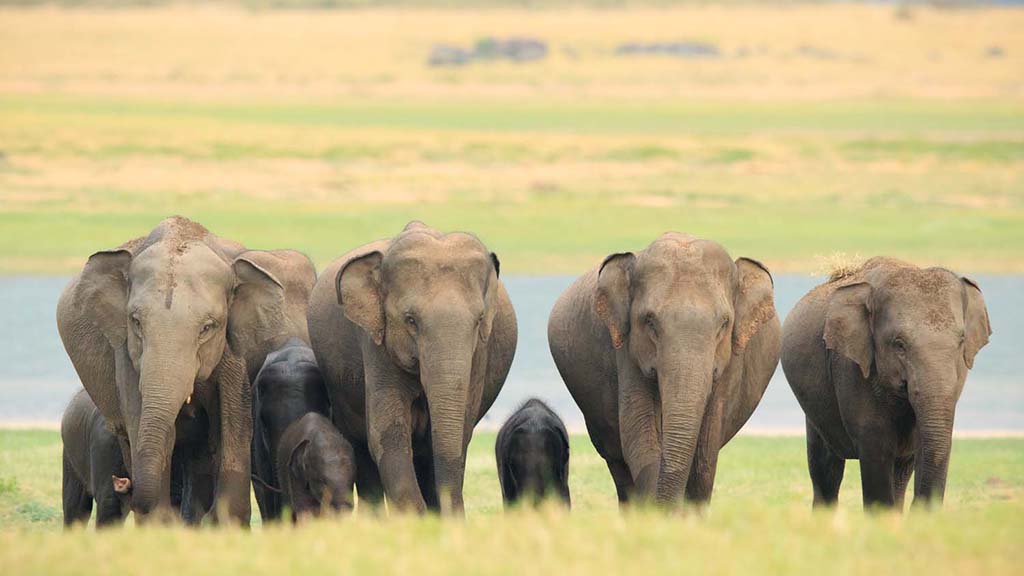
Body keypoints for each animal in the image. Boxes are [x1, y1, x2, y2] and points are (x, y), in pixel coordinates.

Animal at [305, 222, 516, 512]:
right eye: (410, 320)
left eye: (479, 319)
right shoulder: (375, 344)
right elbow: (387, 432)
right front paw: (417, 517)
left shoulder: (479, 353)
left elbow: (458, 430)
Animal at [552, 230, 774, 504]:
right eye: (649, 321)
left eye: (724, 324)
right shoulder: (626, 350)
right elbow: (639, 432)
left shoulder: (731, 360)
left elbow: (705, 451)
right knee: (616, 460)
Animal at [782, 255, 991, 506]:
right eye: (899, 344)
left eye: (961, 341)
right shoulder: (851, 367)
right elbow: (876, 449)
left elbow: (920, 447)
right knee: (825, 469)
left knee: (900, 473)